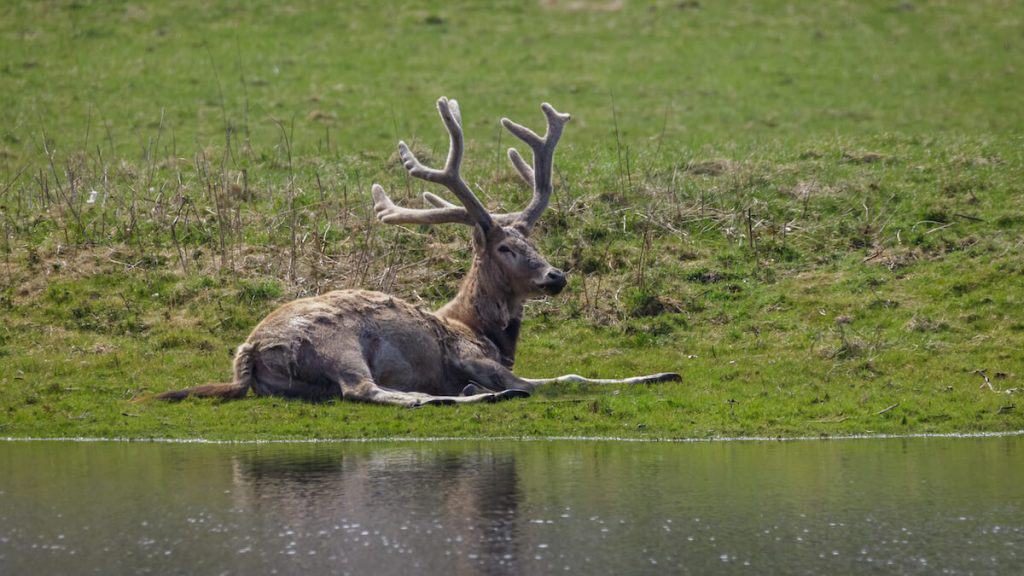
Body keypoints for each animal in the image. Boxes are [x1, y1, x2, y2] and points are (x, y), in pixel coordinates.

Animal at [150, 97, 680, 407]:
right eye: (506, 247)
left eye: (536, 241)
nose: (556, 276)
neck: (479, 330)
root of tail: (248, 354)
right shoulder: (469, 355)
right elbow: (559, 379)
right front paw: (659, 373)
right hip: (336, 344)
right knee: (366, 390)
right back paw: (458, 397)